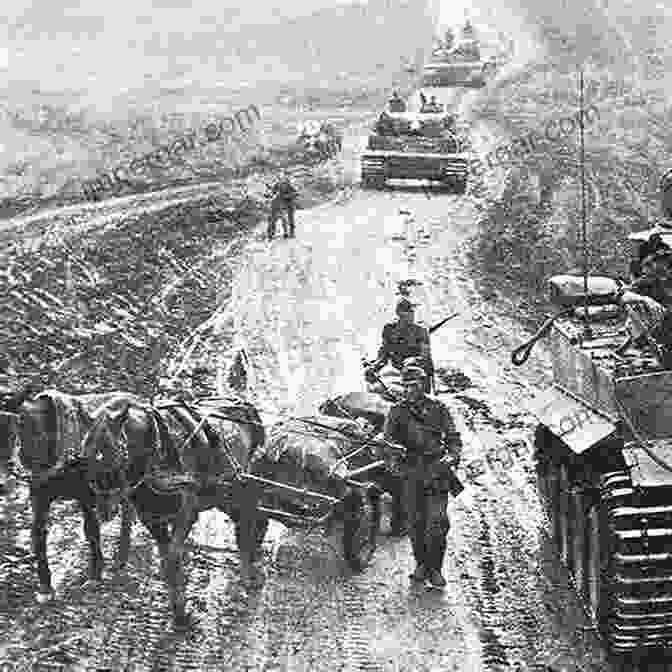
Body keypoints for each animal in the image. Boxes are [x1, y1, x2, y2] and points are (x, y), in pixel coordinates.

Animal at [0, 388, 143, 604]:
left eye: (9, 428)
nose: (2, 485)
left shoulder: (86, 495)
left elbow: (92, 531)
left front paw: (95, 574)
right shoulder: (40, 497)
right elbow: (38, 535)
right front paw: (45, 586)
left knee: (127, 514)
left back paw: (121, 557)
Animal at [84, 392, 268, 628]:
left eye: (111, 453)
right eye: (85, 453)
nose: (102, 507)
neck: (158, 450)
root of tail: (245, 407)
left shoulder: (186, 513)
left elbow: (172, 558)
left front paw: (181, 612)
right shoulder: (152, 518)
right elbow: (167, 560)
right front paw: (178, 609)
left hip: (239, 484)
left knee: (249, 518)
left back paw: (252, 570)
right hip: (225, 492)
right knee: (248, 519)